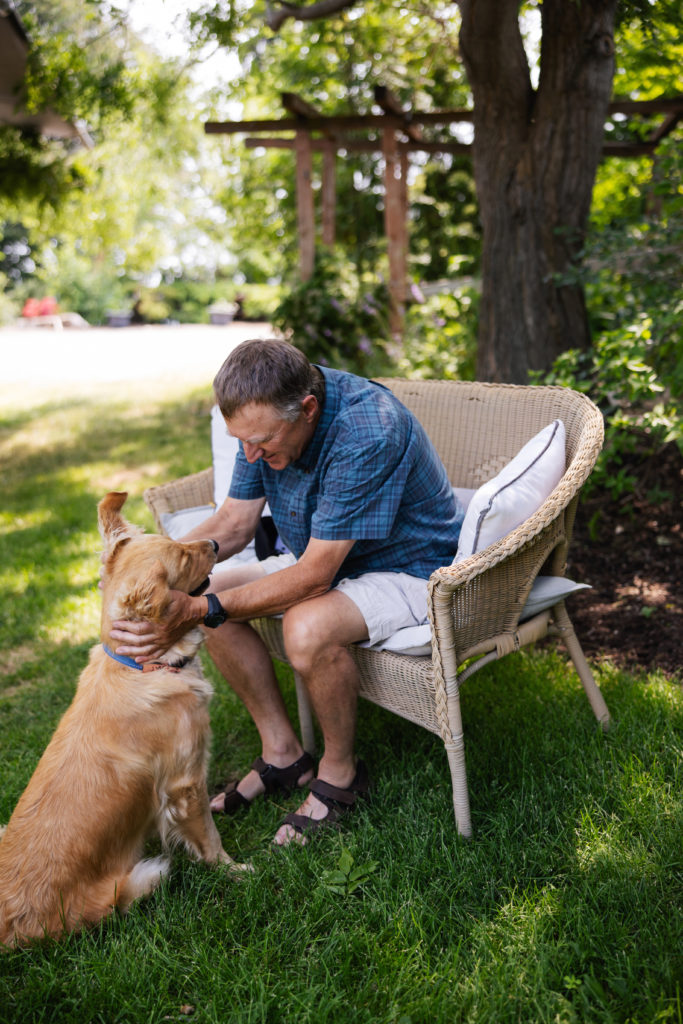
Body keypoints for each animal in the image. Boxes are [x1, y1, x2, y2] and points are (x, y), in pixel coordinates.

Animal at [0, 491, 245, 946]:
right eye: (183, 557)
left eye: (179, 545)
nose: (216, 543)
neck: (142, 666)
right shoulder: (185, 782)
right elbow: (209, 836)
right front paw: (235, 870)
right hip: (134, 882)